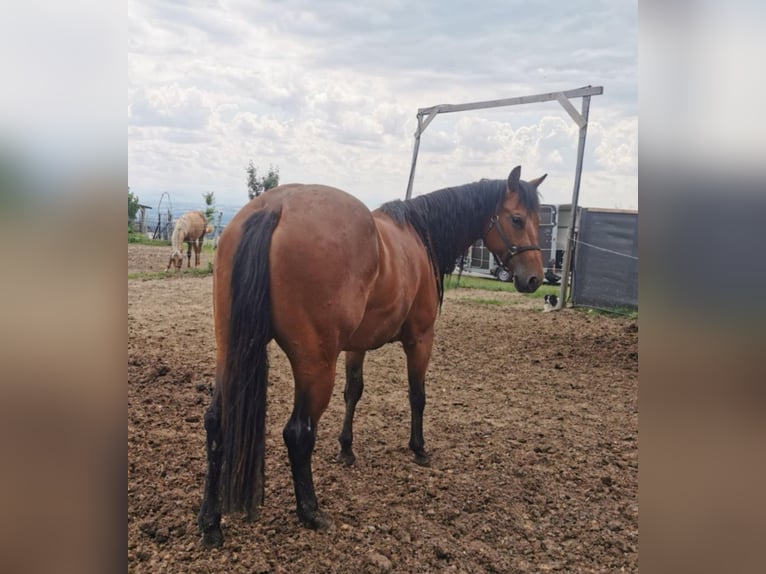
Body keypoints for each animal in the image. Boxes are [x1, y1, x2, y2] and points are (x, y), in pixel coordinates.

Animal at [197, 165, 546, 547]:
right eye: (517, 219)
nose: (536, 278)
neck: (418, 236)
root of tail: (275, 207)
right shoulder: (420, 339)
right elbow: (417, 395)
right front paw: (418, 448)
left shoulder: (356, 345)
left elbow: (354, 392)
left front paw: (346, 449)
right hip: (316, 365)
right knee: (298, 432)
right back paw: (311, 511)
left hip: (230, 351)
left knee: (216, 422)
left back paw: (210, 524)